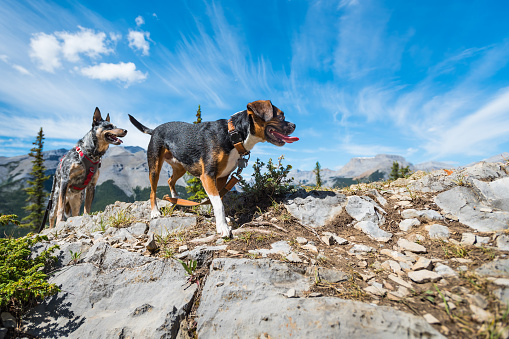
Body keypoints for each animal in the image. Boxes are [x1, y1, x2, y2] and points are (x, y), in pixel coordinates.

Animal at [128, 99, 298, 238]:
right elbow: (218, 203)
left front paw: (222, 219)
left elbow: (219, 199)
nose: (294, 125)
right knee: (153, 191)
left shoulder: (222, 177)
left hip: (181, 167)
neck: (233, 135)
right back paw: (155, 212)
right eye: (281, 116)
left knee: (170, 180)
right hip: (155, 166)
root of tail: (154, 129)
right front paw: (222, 226)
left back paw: (176, 199)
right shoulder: (207, 175)